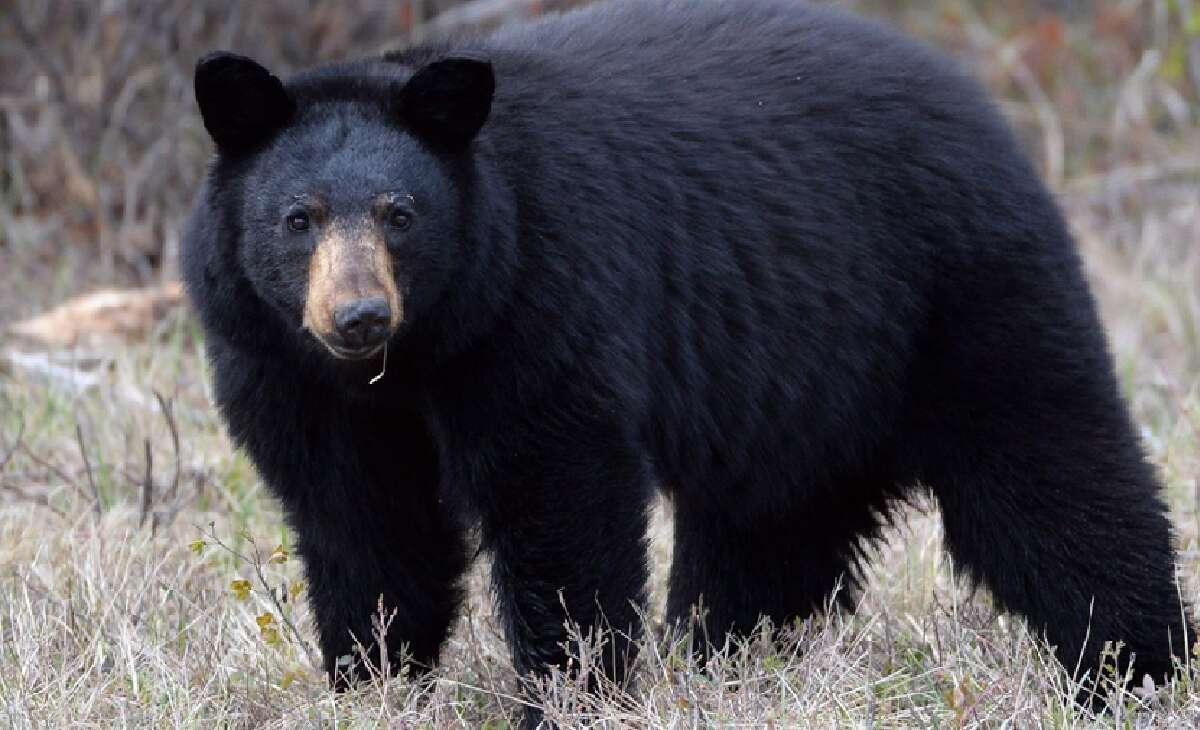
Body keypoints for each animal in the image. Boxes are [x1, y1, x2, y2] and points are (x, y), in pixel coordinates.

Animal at [182, 0, 1193, 724]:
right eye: (298, 218)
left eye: (402, 214)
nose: (358, 315)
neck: (415, 357)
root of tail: (984, 110)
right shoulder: (287, 373)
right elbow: (366, 523)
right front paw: (375, 683)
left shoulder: (539, 305)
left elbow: (558, 495)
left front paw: (572, 694)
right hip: (803, 383)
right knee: (769, 534)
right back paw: (728, 662)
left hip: (960, 297)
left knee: (1052, 473)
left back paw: (1139, 668)